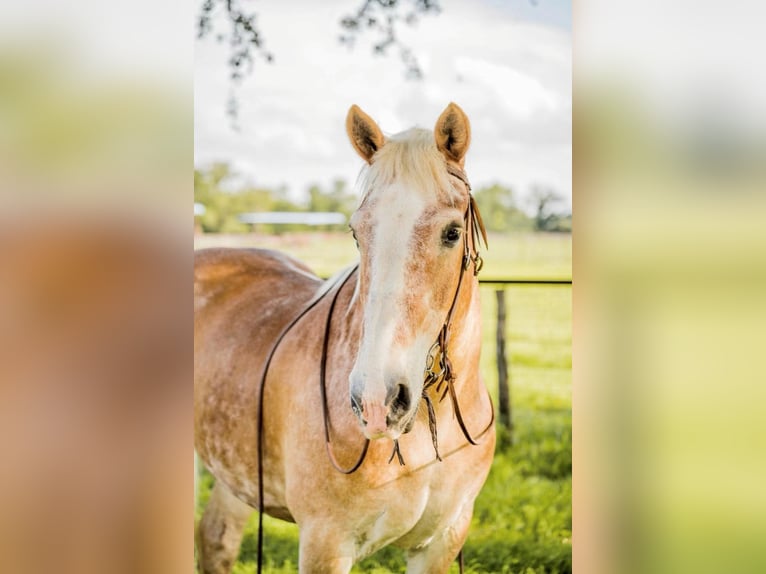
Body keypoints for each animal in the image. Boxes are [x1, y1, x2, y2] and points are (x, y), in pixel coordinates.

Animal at [194, 104, 498, 574]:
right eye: (357, 232)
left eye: (452, 232)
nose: (376, 400)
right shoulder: (326, 543)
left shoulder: (441, 542)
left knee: (216, 540)